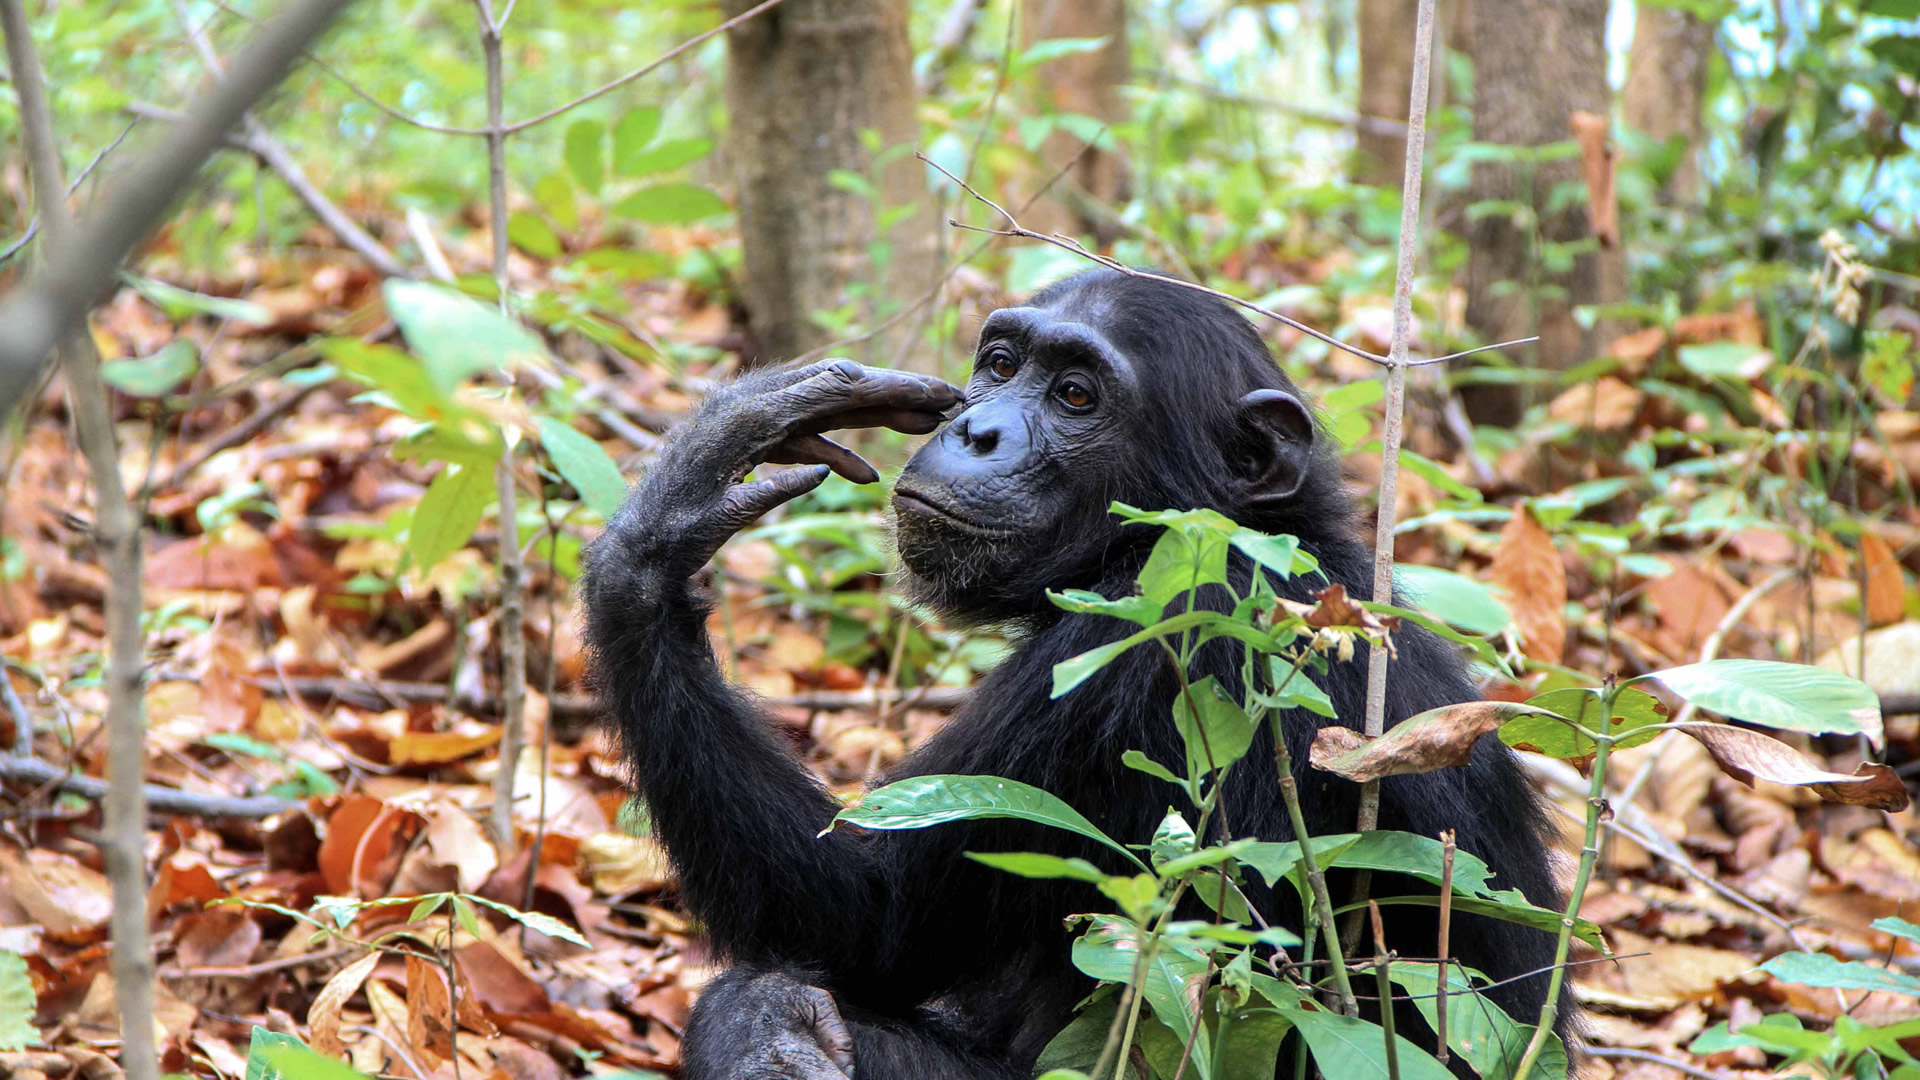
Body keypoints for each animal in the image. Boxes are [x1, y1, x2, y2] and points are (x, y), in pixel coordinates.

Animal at [579, 265, 1559, 1068]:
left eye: (1078, 395)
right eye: (1002, 364)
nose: (977, 430)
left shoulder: (1143, 640)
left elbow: (863, 917)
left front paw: (682, 497)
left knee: (764, 1005)